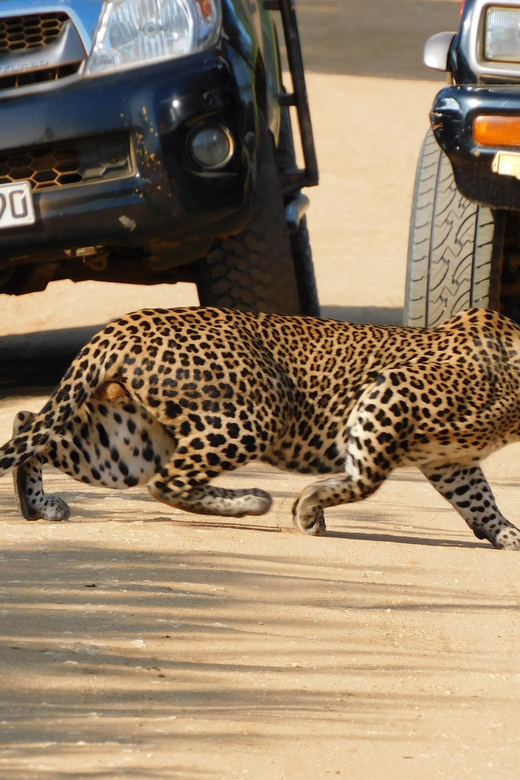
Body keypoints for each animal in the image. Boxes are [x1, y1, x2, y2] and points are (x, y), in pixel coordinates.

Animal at [1, 304, 520, 548]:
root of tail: (126, 322)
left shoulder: (453, 462)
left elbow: (481, 500)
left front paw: (508, 536)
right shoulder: (394, 390)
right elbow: (363, 479)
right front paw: (309, 509)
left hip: (126, 441)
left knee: (31, 426)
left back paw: (38, 506)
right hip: (257, 412)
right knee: (167, 482)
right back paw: (253, 501)